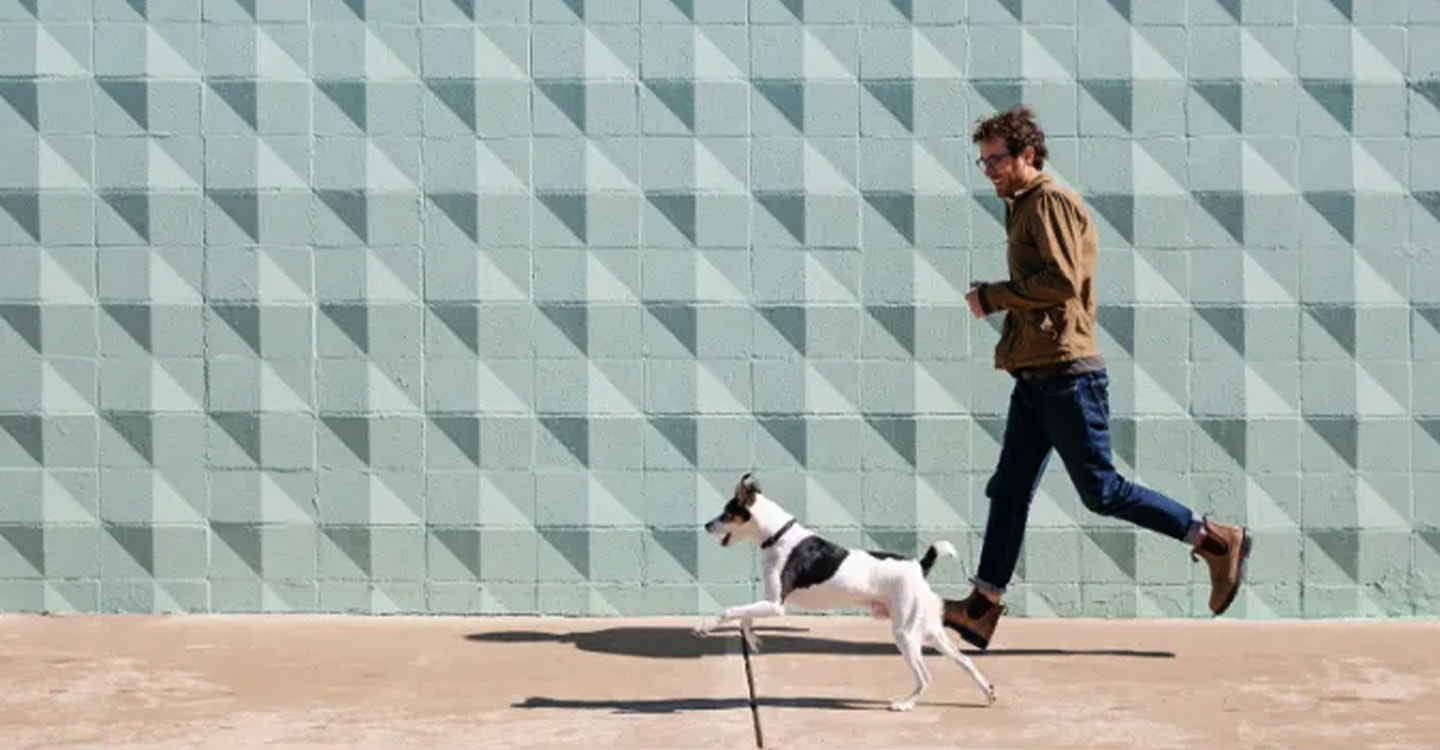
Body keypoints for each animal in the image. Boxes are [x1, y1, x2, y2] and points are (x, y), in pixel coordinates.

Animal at [694, 472, 990, 711]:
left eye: (726, 513)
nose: (706, 525)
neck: (778, 536)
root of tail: (919, 565)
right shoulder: (770, 601)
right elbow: (744, 617)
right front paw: (754, 641)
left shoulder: (776, 605)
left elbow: (730, 612)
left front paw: (705, 627)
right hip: (928, 630)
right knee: (965, 660)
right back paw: (988, 692)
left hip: (905, 634)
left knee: (926, 676)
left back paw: (905, 704)